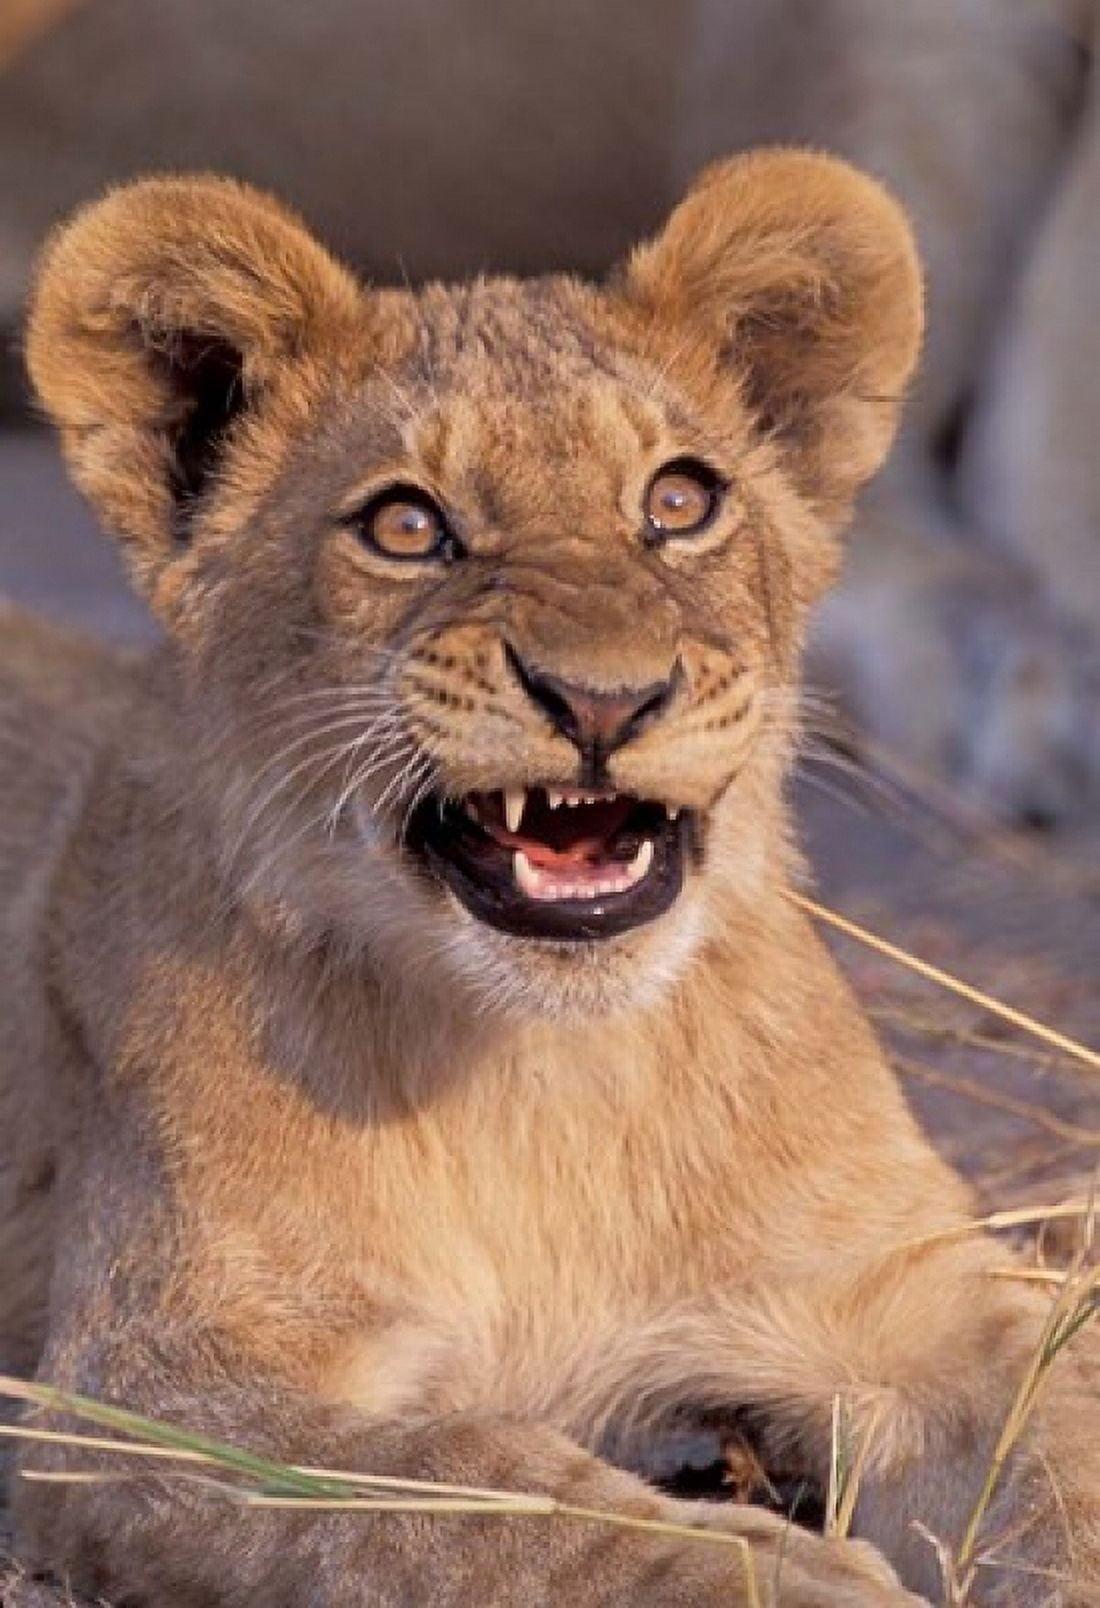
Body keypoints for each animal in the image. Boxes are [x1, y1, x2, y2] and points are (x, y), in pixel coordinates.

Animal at [1, 152, 1099, 1607]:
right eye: (407, 525)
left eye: (679, 502)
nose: (604, 699)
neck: (546, 1078)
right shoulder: (146, 1403)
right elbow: (482, 1501)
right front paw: (805, 1581)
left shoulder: (918, 1299)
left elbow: (1063, 1456)